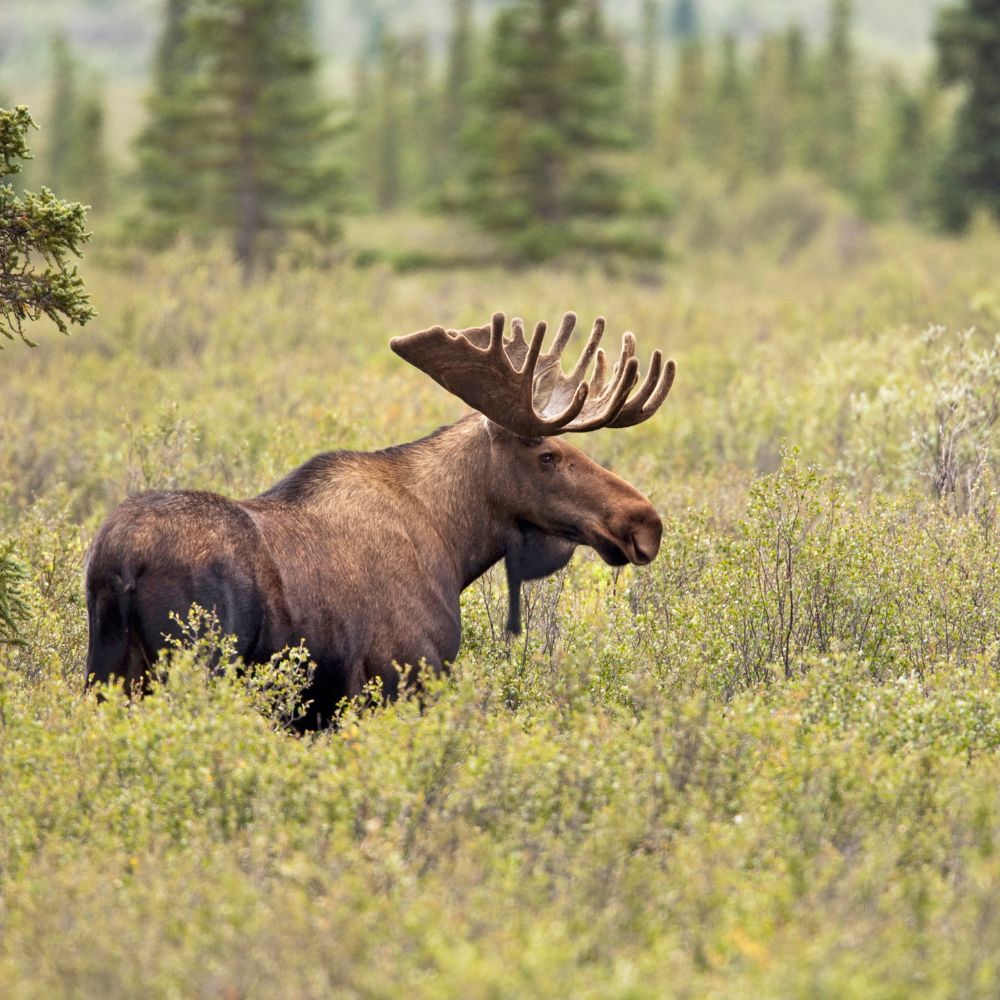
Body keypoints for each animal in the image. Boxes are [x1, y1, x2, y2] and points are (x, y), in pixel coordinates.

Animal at [86, 312, 676, 728]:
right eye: (548, 455)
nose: (644, 522)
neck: (453, 544)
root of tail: (119, 564)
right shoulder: (402, 677)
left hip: (107, 672)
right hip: (194, 667)